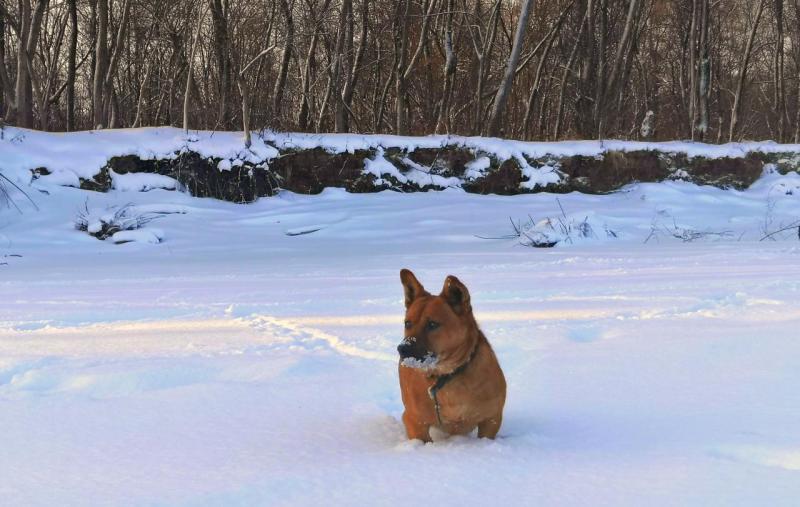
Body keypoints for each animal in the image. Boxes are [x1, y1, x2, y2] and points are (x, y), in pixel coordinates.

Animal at [398, 270, 506, 440]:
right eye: (407, 323)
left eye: (432, 324)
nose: (402, 349)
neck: (446, 374)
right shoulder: (415, 422)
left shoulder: (492, 418)